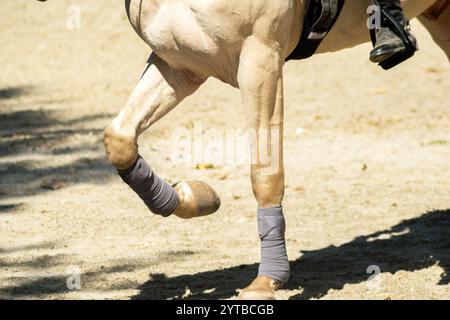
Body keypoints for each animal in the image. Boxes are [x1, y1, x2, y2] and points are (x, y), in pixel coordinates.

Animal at [39, 0, 450, 300]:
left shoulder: (260, 60)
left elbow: (265, 172)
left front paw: (269, 279)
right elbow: (120, 139)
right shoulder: (180, 65)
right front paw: (194, 197)